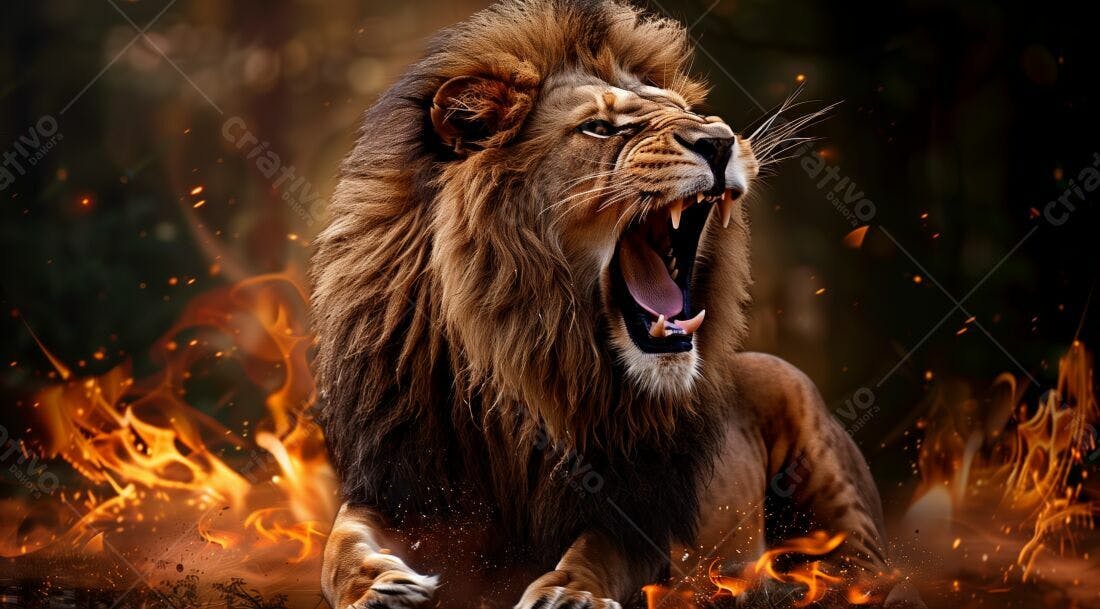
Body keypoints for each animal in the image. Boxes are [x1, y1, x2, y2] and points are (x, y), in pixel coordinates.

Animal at [311, 1, 923, 608]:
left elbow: (601, 548)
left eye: (686, 112)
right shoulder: (403, 483)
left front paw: (568, 593)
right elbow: (342, 542)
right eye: (599, 128)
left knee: (869, 569)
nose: (720, 140)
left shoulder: (641, 505)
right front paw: (377, 585)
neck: (527, 360)